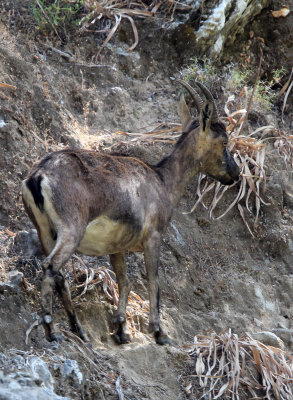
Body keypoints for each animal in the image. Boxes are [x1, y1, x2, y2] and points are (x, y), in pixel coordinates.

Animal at [21, 80, 238, 344]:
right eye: (224, 141)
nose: (235, 173)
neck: (163, 182)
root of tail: (37, 177)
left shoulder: (117, 246)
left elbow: (124, 281)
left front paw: (122, 329)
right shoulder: (154, 236)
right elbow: (154, 282)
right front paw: (159, 332)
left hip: (44, 230)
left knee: (59, 274)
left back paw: (78, 329)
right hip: (72, 227)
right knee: (51, 266)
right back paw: (51, 330)